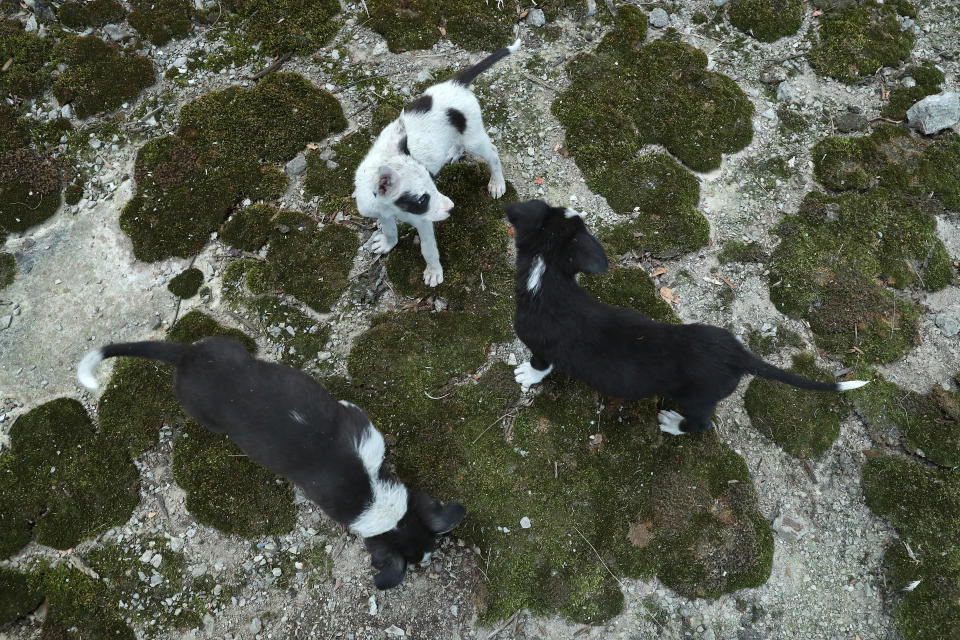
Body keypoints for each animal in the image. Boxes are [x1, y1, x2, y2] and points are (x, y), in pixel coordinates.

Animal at [352, 35, 516, 284]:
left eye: (432, 182)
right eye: (421, 199)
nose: (452, 209)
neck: (390, 207)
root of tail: (455, 84)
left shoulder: (423, 222)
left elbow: (428, 249)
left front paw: (433, 271)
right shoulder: (381, 212)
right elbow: (390, 229)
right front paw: (389, 243)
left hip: (474, 138)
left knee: (493, 154)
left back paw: (497, 183)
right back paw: (454, 152)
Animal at [502, 200, 872, 436]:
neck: (544, 275)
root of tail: (737, 355)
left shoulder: (541, 346)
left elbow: (540, 365)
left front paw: (526, 375)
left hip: (695, 400)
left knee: (700, 424)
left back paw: (673, 425)